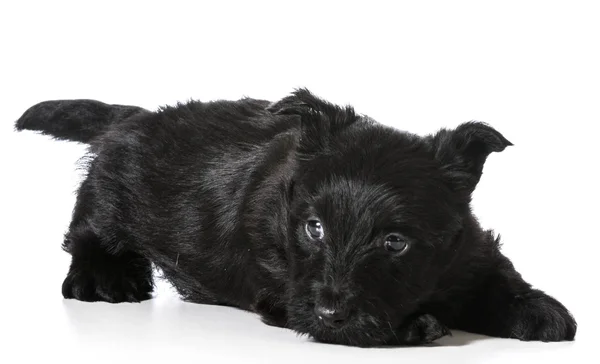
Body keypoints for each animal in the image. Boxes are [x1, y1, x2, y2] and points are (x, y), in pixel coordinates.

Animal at [15, 89, 576, 346]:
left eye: (395, 242)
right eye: (315, 227)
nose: (331, 315)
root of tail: (135, 116)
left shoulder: (467, 247)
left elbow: (495, 272)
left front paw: (539, 311)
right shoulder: (280, 286)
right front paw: (420, 325)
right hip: (110, 197)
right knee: (87, 230)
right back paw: (105, 280)